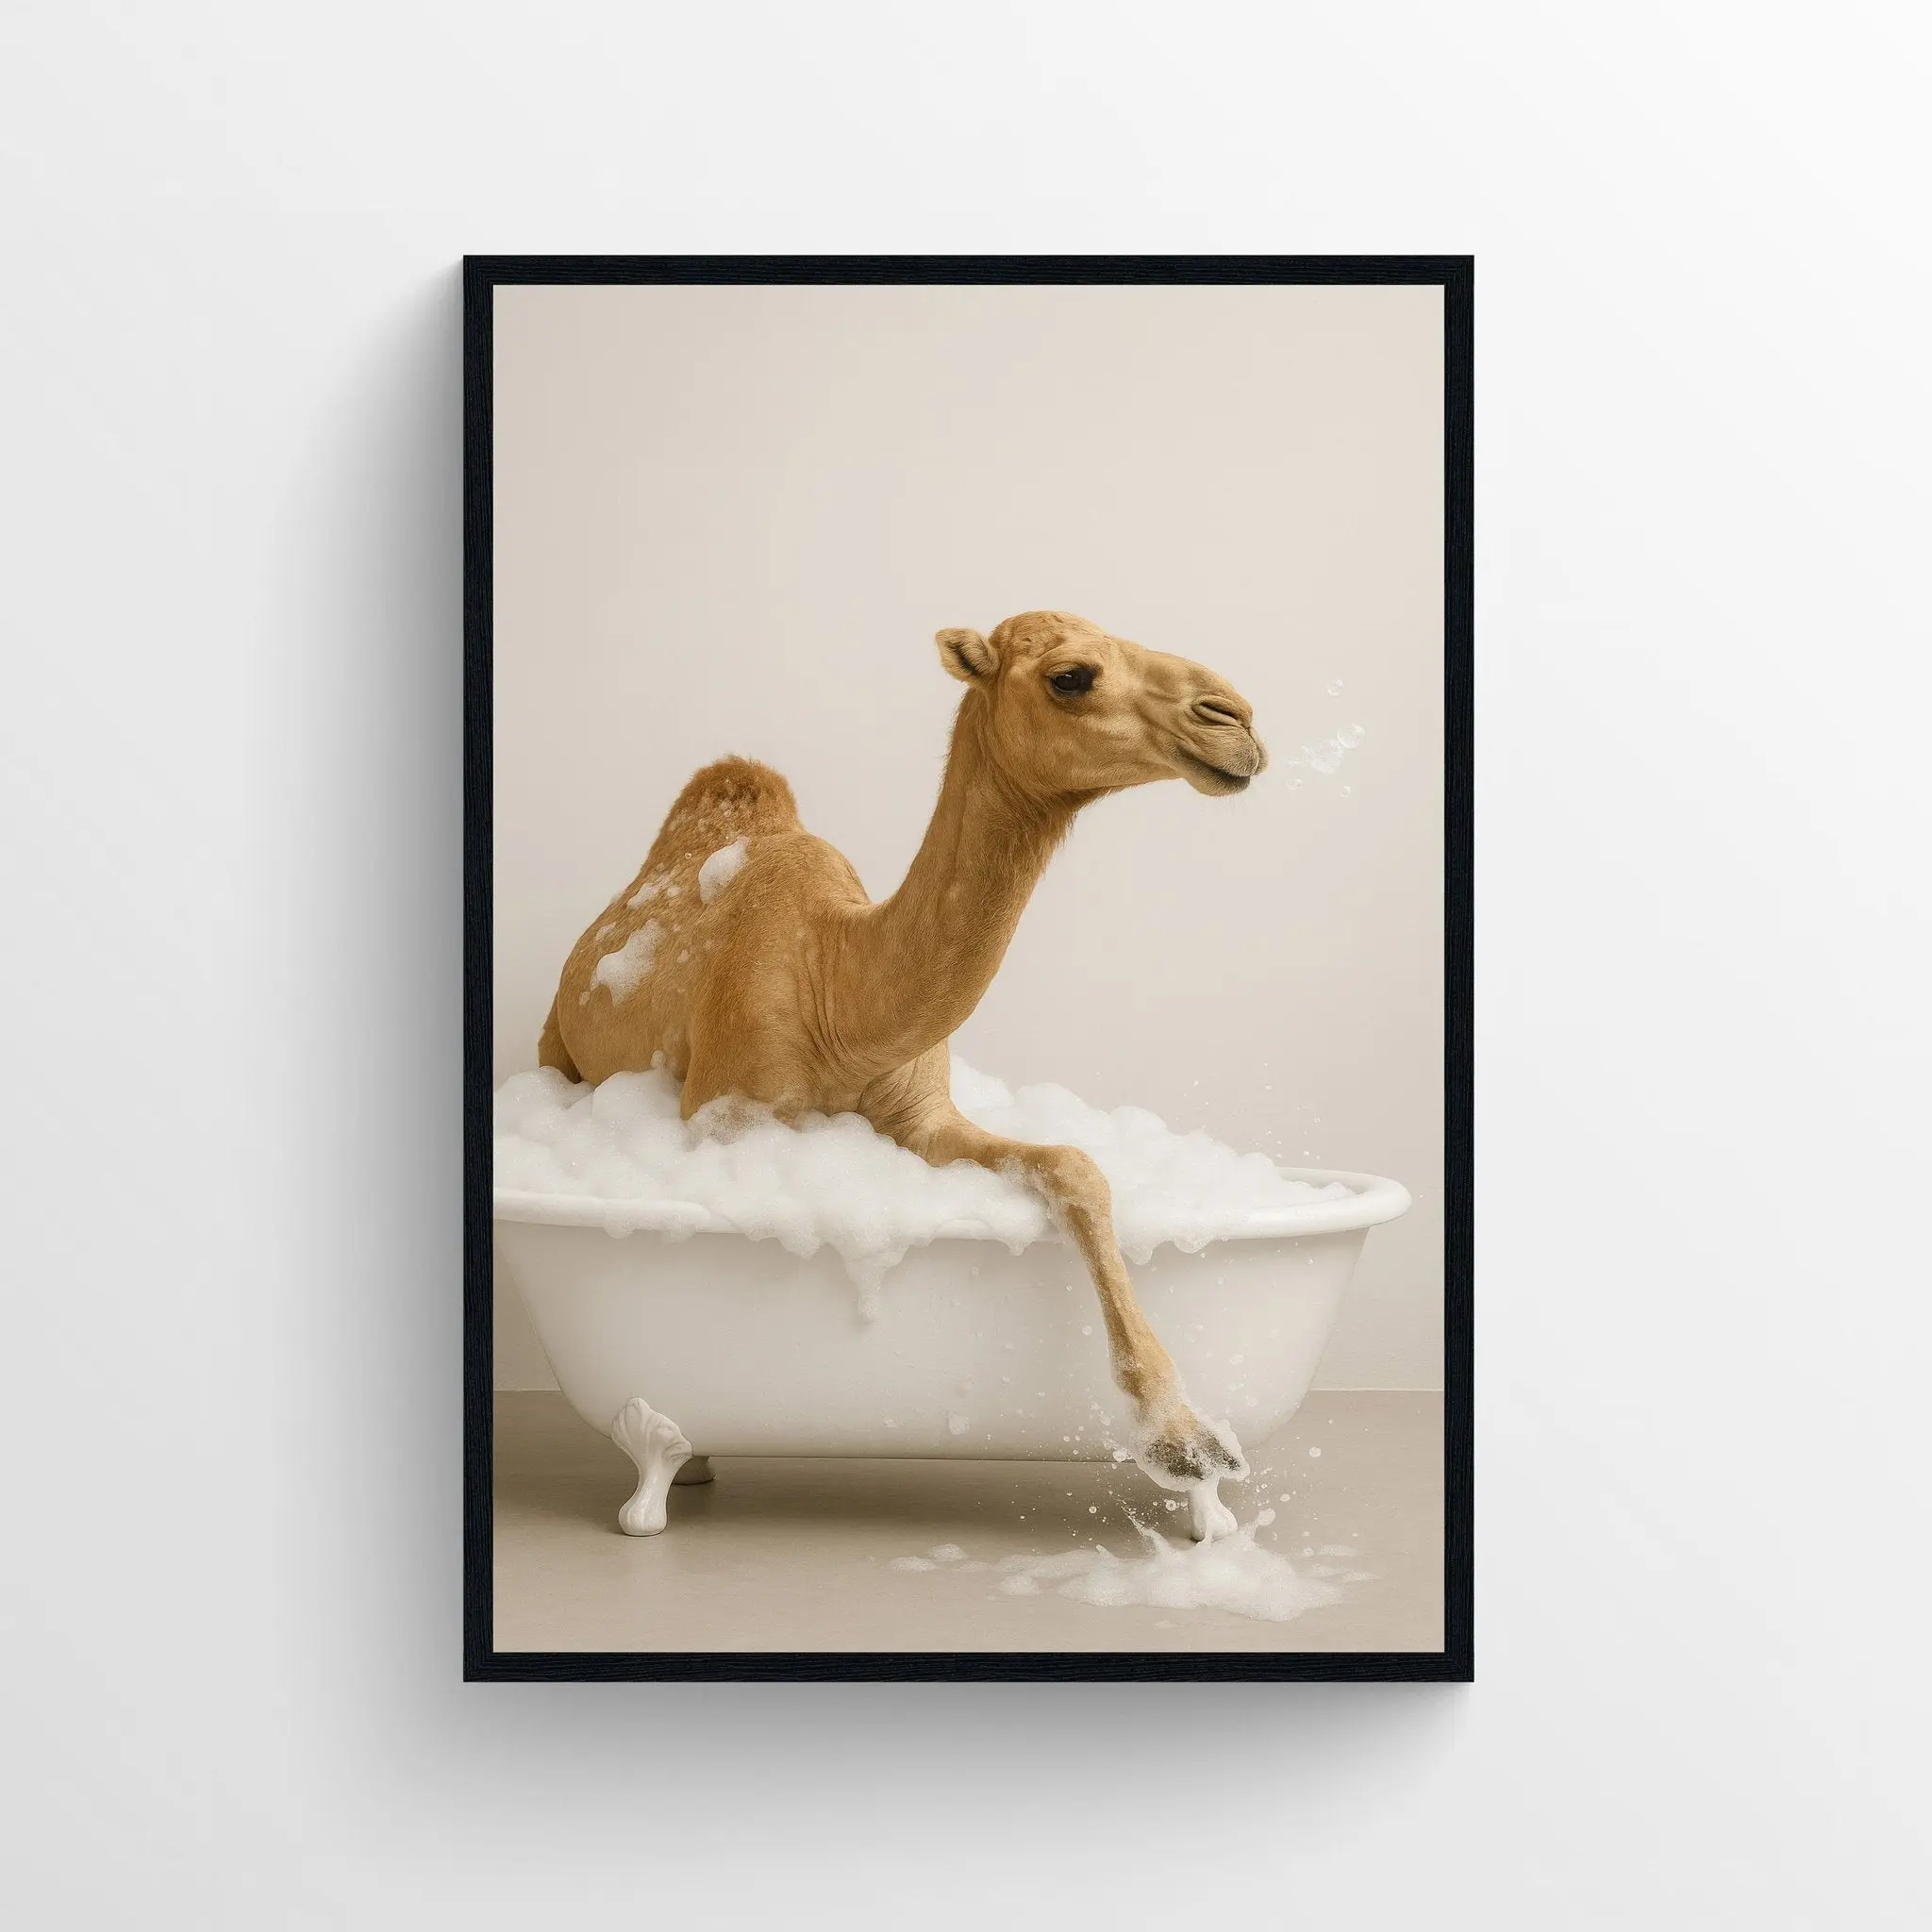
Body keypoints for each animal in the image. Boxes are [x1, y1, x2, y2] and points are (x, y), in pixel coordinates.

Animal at [539, 610, 1269, 1516]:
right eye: (1071, 676)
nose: (1236, 722)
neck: (839, 989)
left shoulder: (921, 1116)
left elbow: (1075, 1166)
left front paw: (1188, 1442)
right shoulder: (720, 1116)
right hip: (556, 1046)